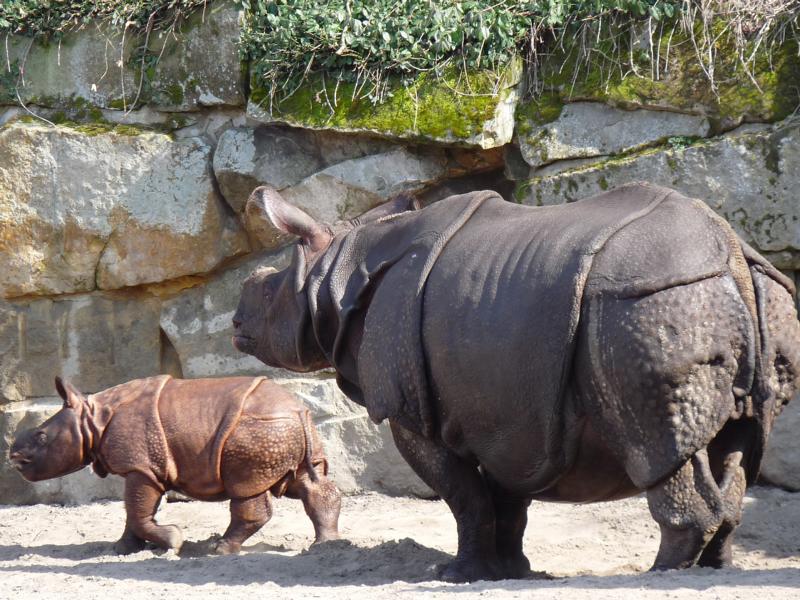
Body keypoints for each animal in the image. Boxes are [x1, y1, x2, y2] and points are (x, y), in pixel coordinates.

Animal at [9, 375, 341, 555]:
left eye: (41, 436)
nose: (13, 455)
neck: (93, 419)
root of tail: (297, 411)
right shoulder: (144, 467)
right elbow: (133, 512)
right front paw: (122, 549)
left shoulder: (141, 467)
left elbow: (138, 511)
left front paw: (173, 541)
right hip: (289, 431)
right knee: (309, 483)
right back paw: (326, 545)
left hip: (256, 433)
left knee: (245, 487)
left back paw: (218, 550)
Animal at [232, 182, 800, 582]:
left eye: (268, 292)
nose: (235, 323)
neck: (335, 273)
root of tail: (728, 249)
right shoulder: (508, 410)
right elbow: (505, 498)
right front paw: (510, 572)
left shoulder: (411, 409)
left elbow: (462, 494)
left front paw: (455, 574)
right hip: (756, 297)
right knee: (738, 446)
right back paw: (714, 566)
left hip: (645, 303)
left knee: (655, 439)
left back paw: (662, 571)